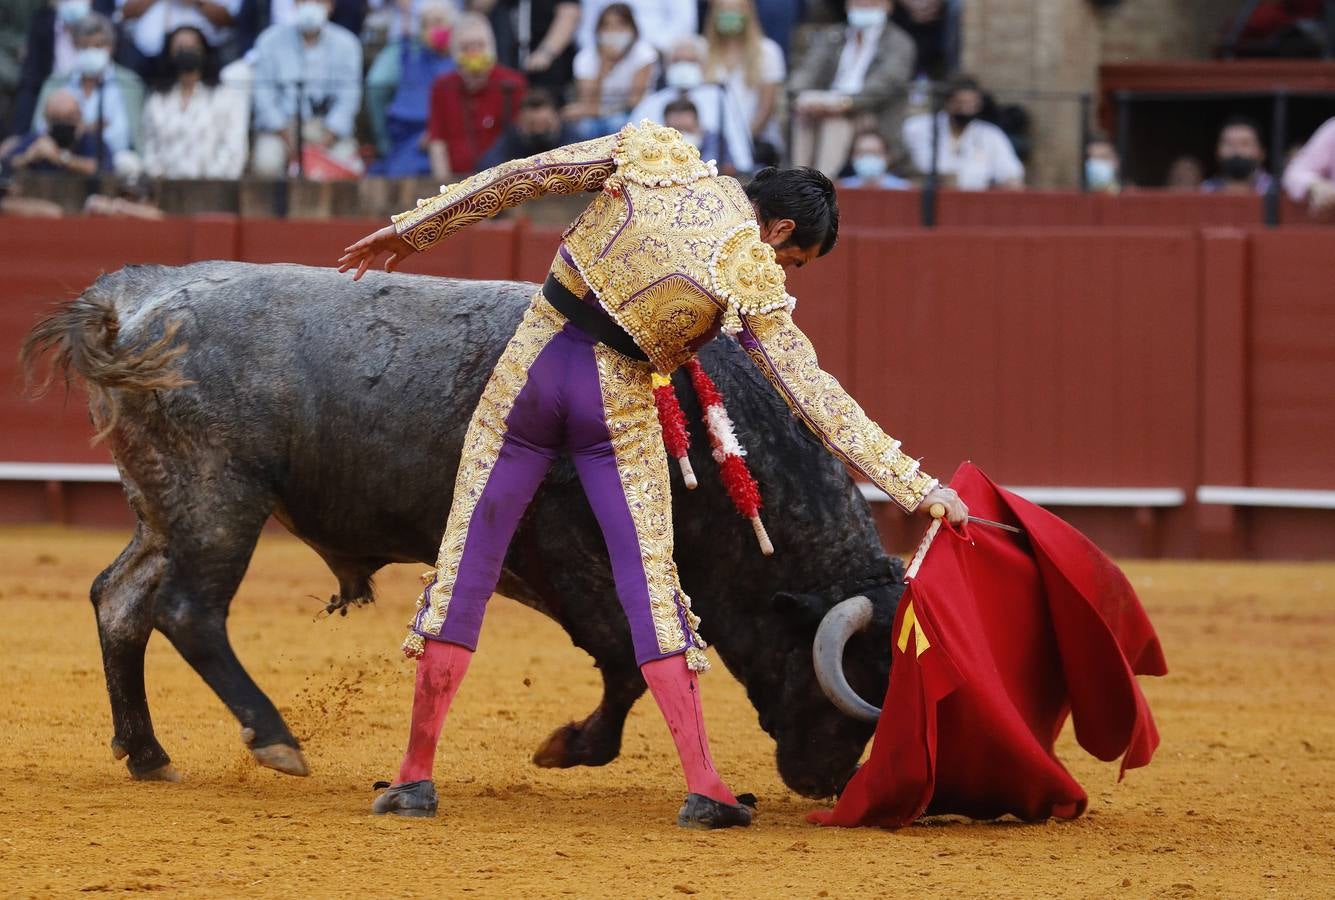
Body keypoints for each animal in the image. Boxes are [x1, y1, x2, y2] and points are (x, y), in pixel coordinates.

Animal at [20, 261, 902, 801]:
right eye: (849, 671)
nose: (826, 782)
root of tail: (133, 302)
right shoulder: (560, 553)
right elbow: (623, 655)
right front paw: (569, 746)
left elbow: (639, 654)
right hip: (218, 498)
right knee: (188, 612)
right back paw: (273, 739)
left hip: (163, 505)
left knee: (120, 602)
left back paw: (148, 753)